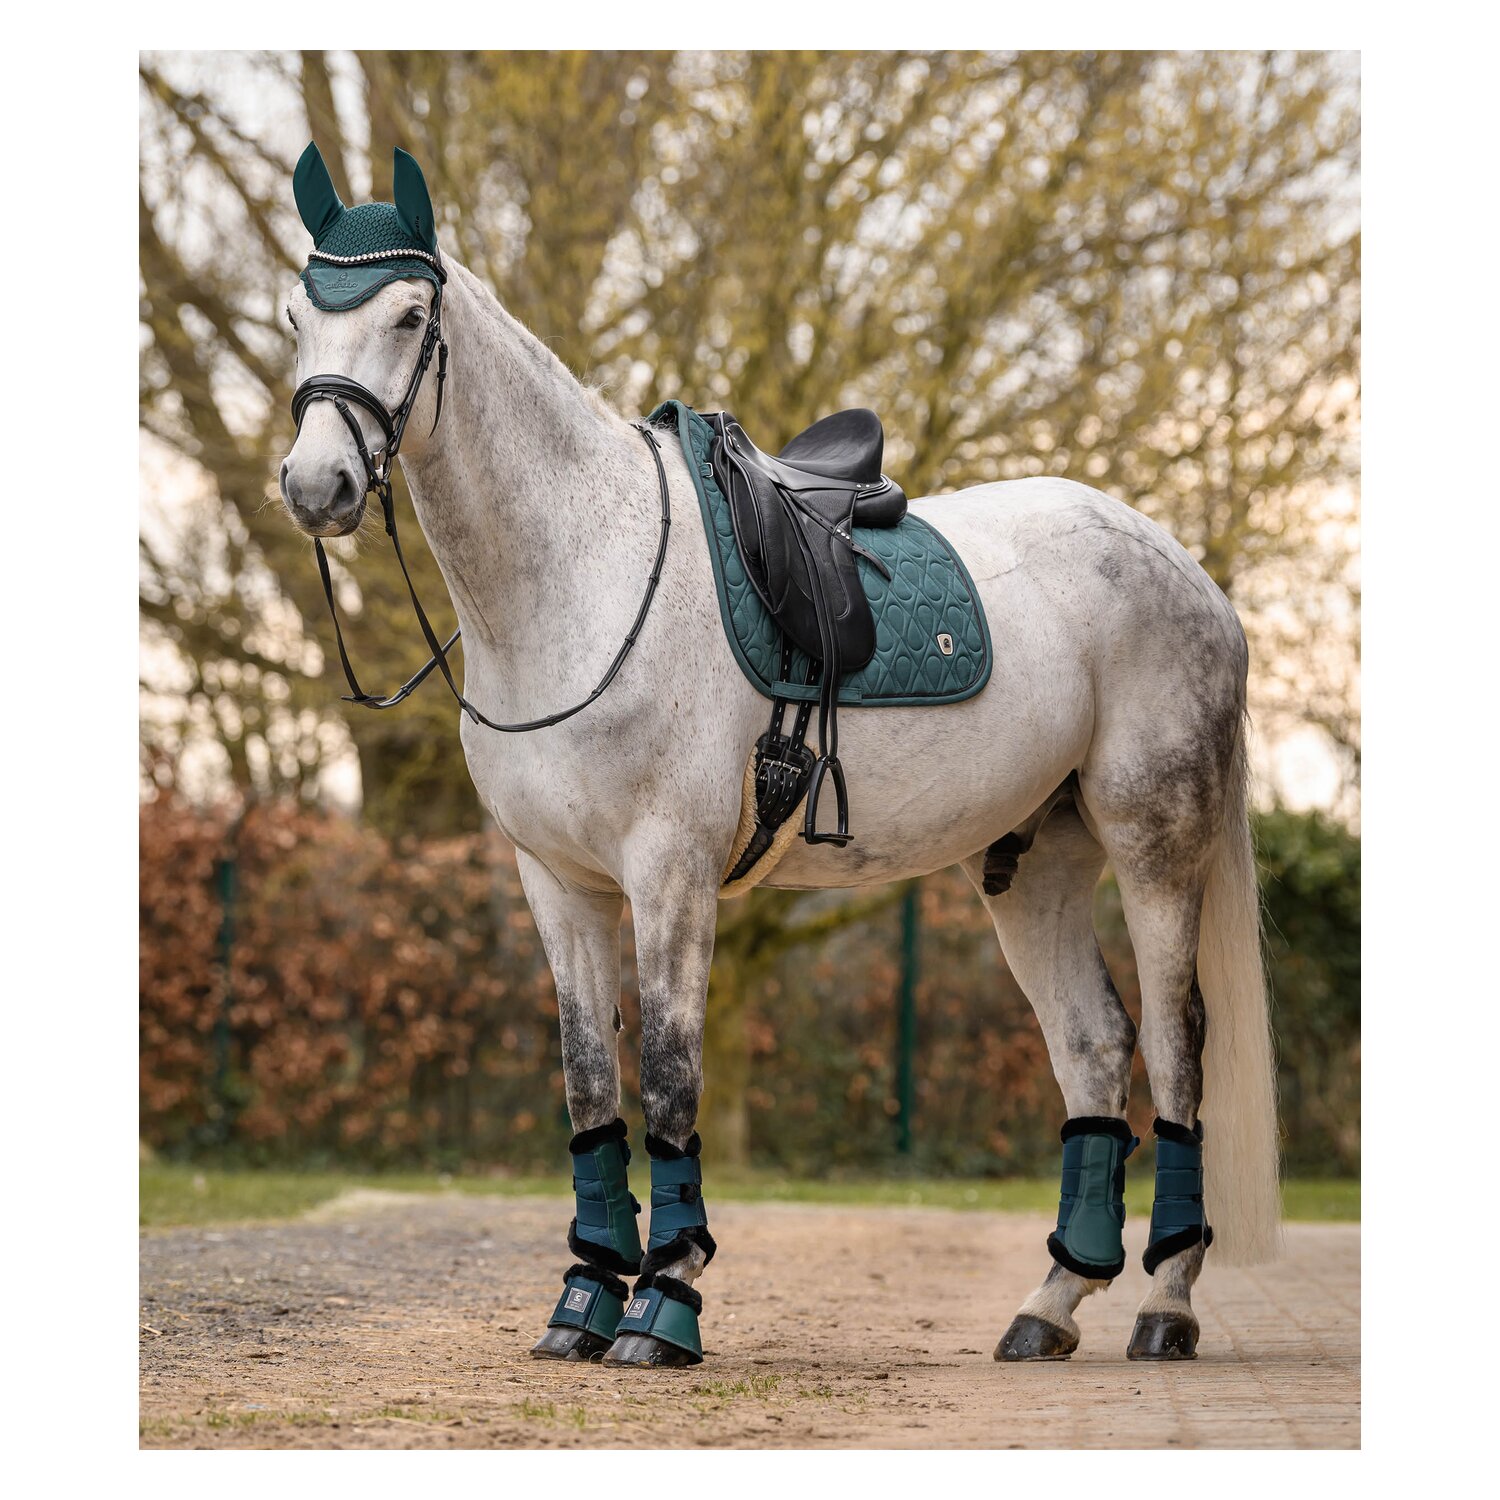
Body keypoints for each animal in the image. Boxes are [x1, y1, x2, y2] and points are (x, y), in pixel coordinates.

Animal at [276, 145, 1280, 1369]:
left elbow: (668, 1079)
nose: (314, 486)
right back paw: (1048, 1305)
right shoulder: (557, 884)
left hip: (1153, 841)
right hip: (1035, 863)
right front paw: (583, 1301)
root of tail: (1183, 567)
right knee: (1094, 1047)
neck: (578, 577)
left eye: (411, 313)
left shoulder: (669, 873)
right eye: (296, 316)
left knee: (1179, 1046)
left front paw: (665, 1302)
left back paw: (1165, 1303)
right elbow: (588, 1089)